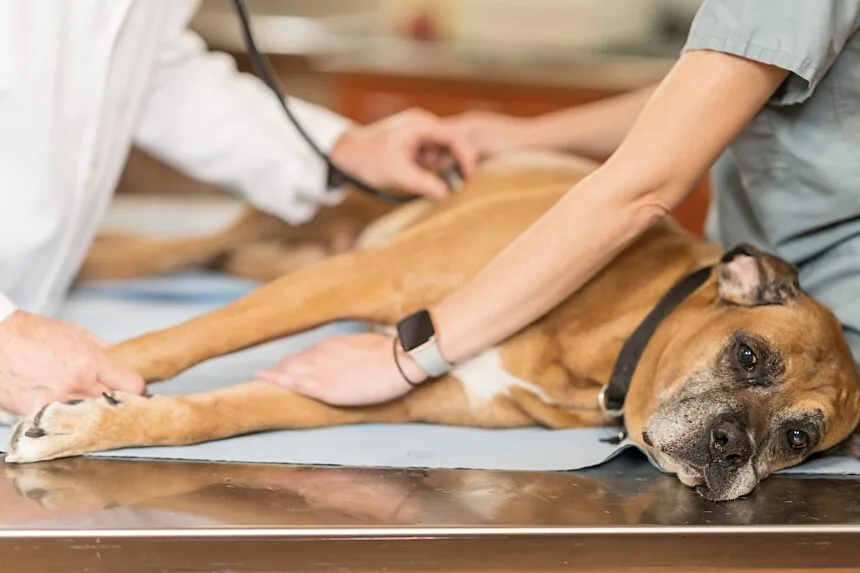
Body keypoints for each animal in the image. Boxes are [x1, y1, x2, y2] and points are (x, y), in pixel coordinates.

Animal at [3, 151, 856, 500]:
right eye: (748, 355)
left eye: (798, 437)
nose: (733, 448)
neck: (606, 333)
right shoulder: (359, 279)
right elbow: (172, 342)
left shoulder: (384, 388)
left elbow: (210, 413)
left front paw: (86, 422)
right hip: (297, 248)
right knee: (155, 256)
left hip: (268, 258)